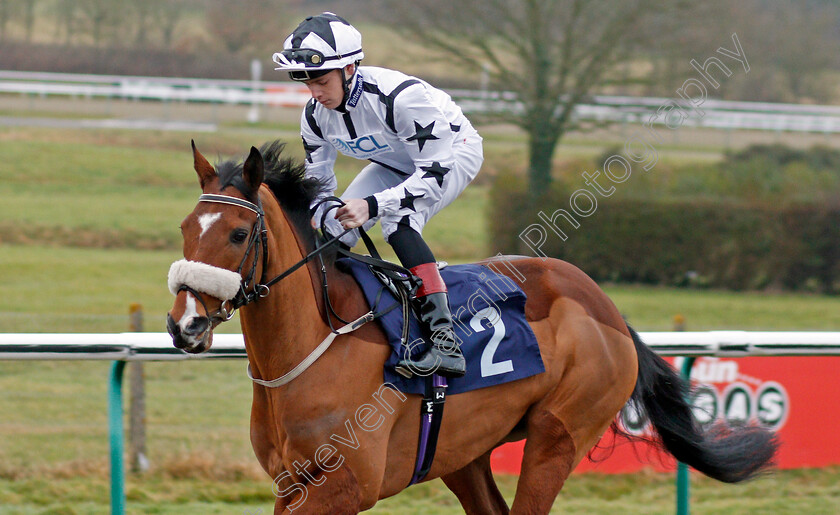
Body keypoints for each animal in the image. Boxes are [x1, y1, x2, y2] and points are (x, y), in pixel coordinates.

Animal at [167, 141, 776, 515]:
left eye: (239, 234)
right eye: (185, 228)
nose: (184, 323)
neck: (314, 345)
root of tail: (607, 307)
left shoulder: (346, 485)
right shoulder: (292, 483)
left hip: (560, 431)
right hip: (462, 451)